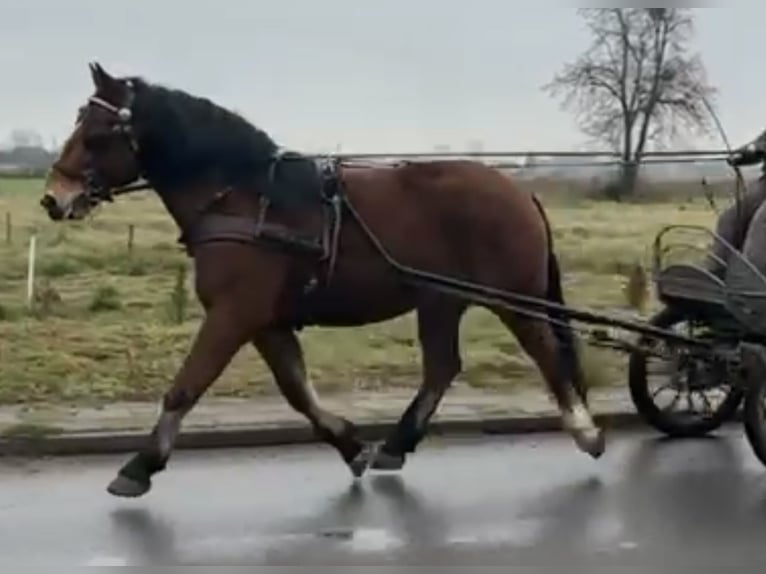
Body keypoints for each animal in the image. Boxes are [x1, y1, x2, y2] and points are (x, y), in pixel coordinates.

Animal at [40, 63, 608, 500]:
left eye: (96, 134)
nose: (52, 198)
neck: (242, 195)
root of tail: (520, 190)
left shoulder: (234, 314)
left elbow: (186, 386)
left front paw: (139, 466)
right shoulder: (265, 322)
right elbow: (297, 392)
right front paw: (350, 446)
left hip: (512, 298)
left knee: (545, 354)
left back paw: (585, 431)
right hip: (441, 300)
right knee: (442, 367)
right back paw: (397, 445)